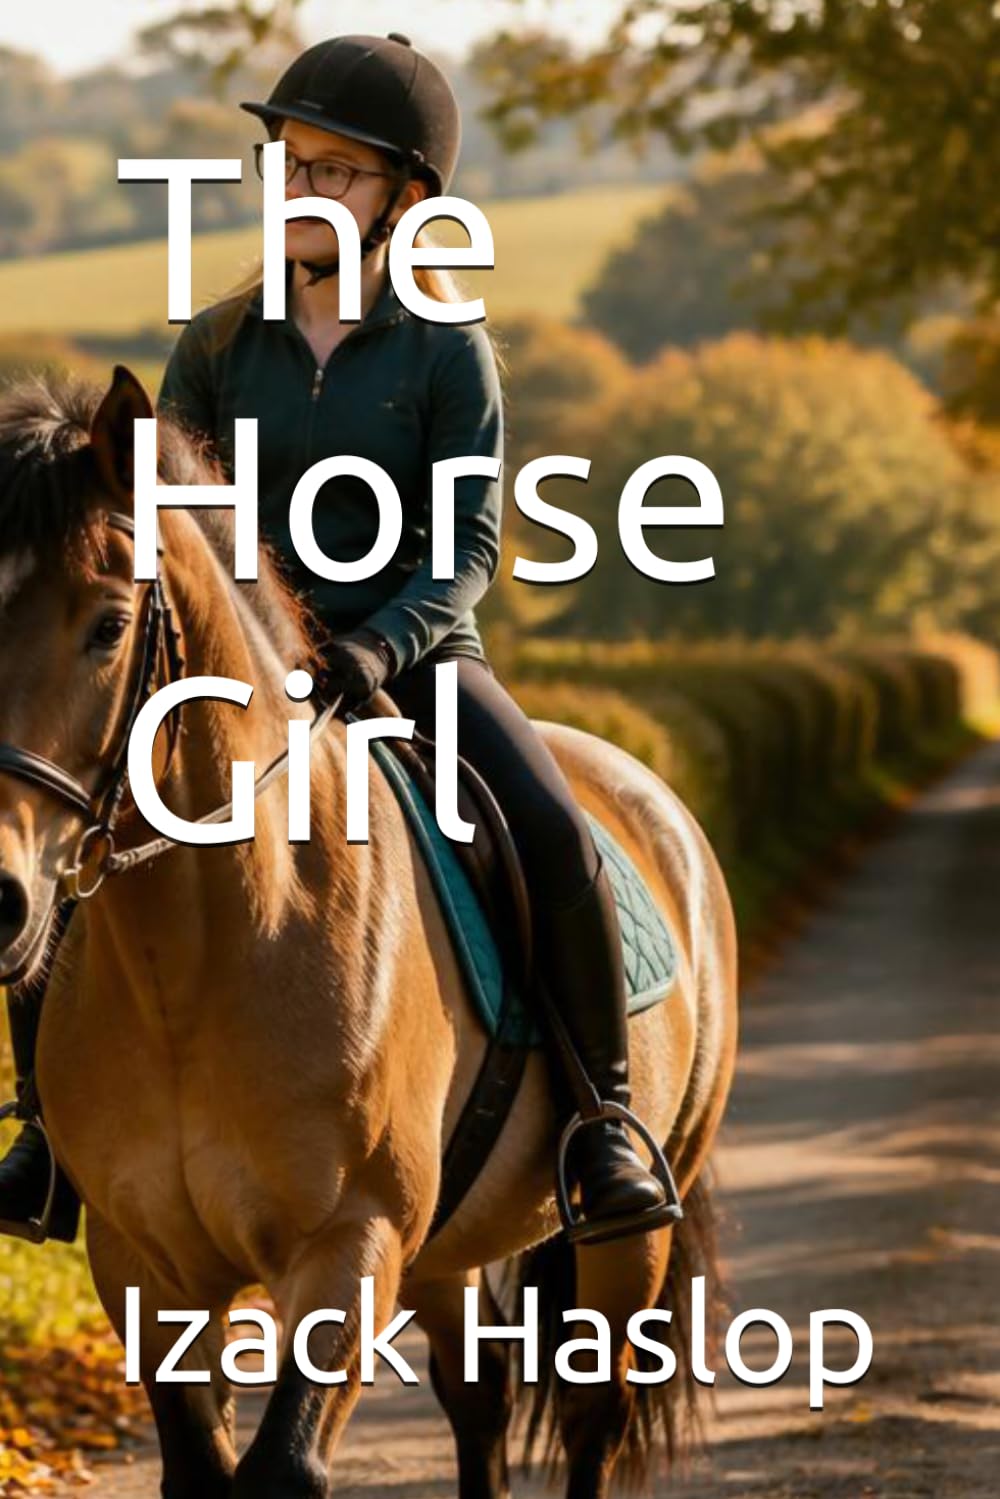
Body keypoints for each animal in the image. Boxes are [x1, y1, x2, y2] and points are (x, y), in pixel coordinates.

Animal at [0, 365, 739, 1499]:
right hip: (445, 1246)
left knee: (592, 1413)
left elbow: (283, 1464)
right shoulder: (143, 1264)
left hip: (629, 1232)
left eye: (110, 624)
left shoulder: (350, 1244)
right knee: (479, 1396)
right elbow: (201, 1465)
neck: (201, 961)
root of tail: (656, 799)